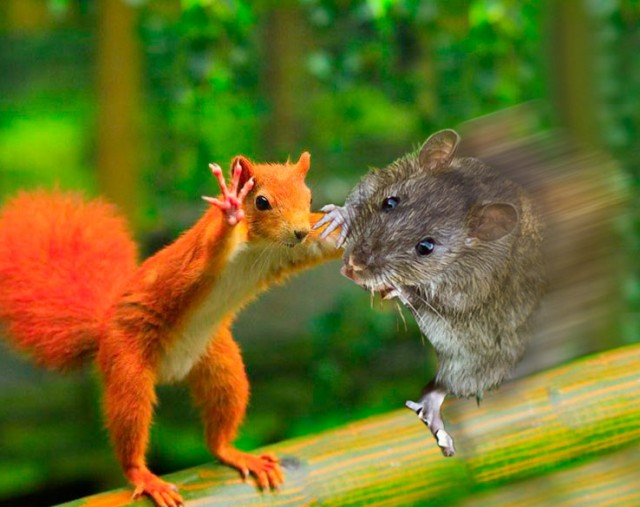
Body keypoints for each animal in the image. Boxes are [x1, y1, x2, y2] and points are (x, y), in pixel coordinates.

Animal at [0, 153, 341, 507]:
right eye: (261, 202)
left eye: (310, 199)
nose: (301, 232)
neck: (262, 246)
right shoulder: (201, 253)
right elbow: (211, 248)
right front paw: (231, 208)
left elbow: (329, 241)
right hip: (127, 365)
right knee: (130, 426)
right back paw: (144, 476)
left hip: (220, 364)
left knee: (219, 427)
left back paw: (234, 453)